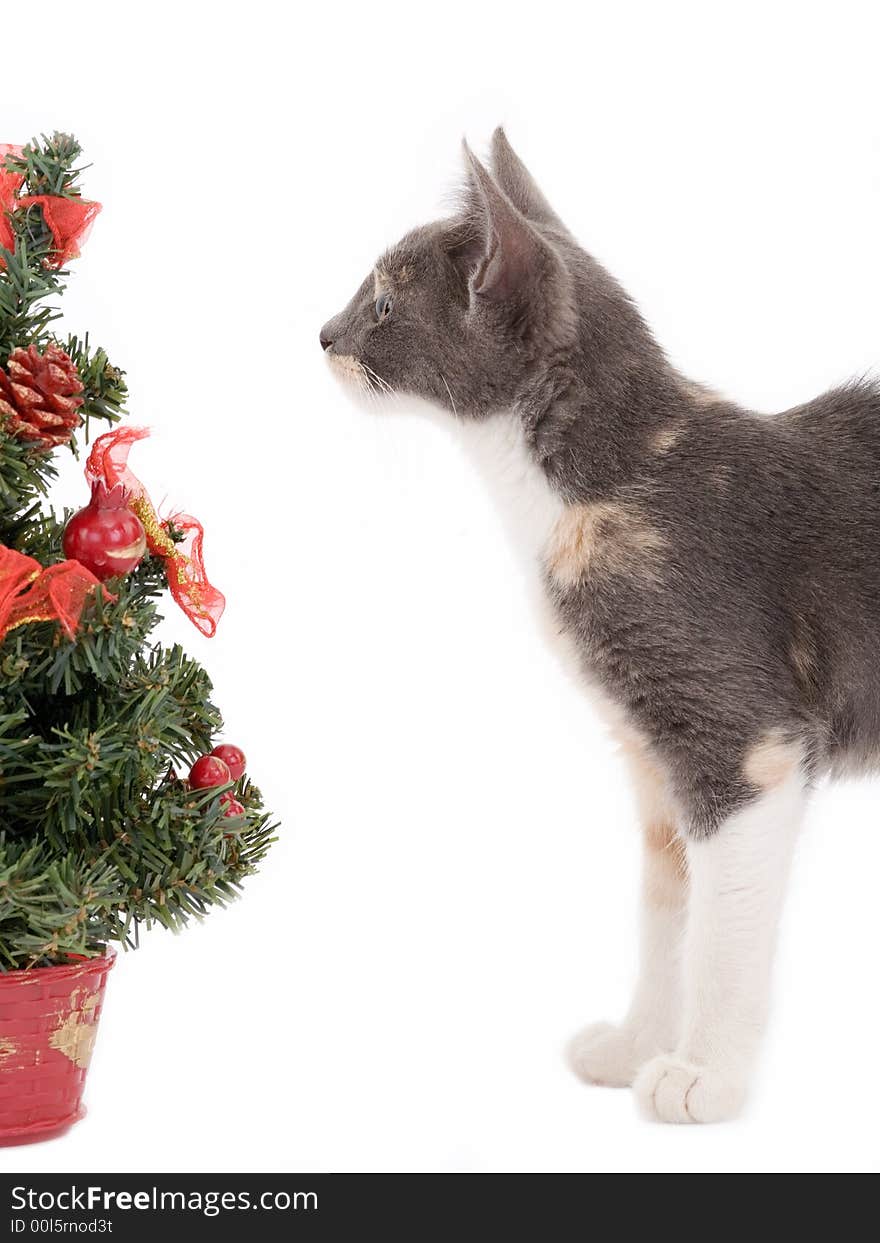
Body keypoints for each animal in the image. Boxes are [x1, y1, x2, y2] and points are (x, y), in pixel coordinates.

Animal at [320, 131, 879, 1123]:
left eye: (382, 302)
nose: (321, 335)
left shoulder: (741, 739)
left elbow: (722, 926)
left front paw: (705, 1075)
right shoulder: (654, 759)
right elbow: (666, 909)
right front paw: (637, 1043)